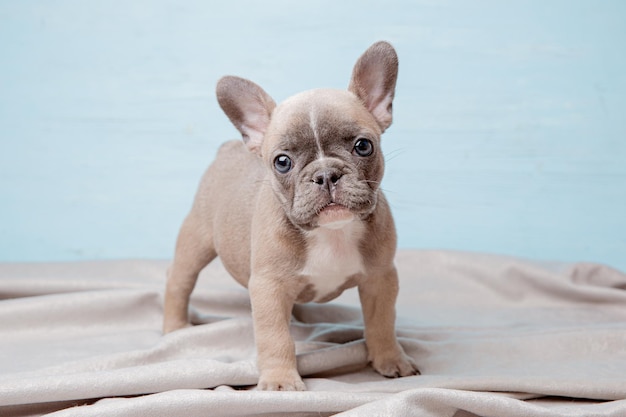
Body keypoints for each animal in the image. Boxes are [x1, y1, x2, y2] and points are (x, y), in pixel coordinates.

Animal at [165, 41, 420, 390]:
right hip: (196, 240)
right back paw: (174, 329)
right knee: (179, 283)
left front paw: (391, 360)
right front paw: (280, 380)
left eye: (363, 146)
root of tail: (228, 147)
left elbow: (382, 323)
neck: (332, 232)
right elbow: (276, 337)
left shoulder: (380, 278)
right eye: (282, 162)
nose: (325, 174)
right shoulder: (269, 288)